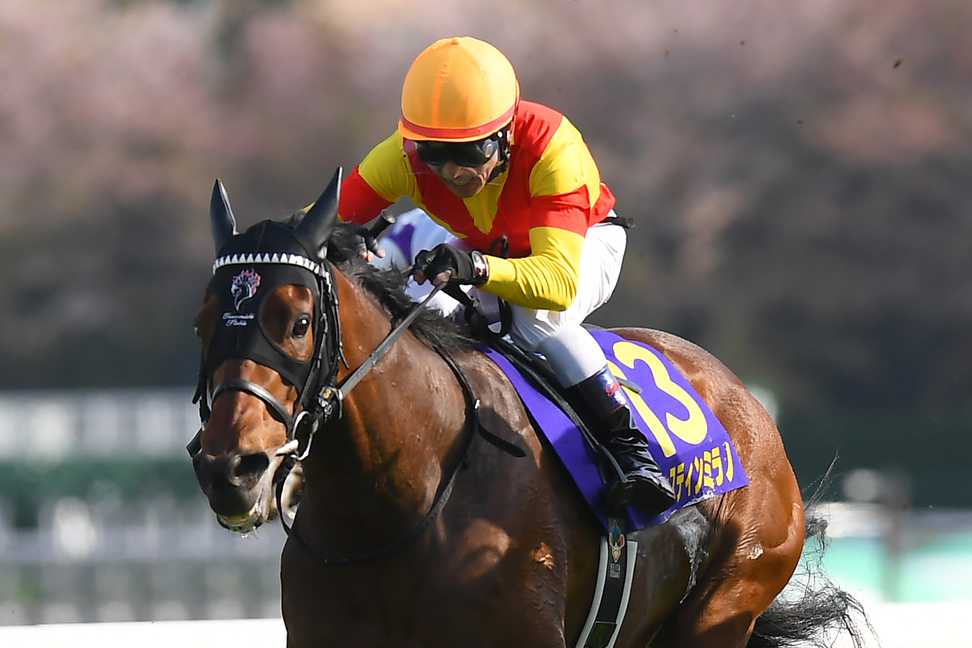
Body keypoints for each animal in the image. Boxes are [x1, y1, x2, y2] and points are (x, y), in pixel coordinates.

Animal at [189, 170, 865, 647]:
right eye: (201, 323)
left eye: (300, 322)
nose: (230, 468)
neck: (399, 501)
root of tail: (750, 409)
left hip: (729, 598)